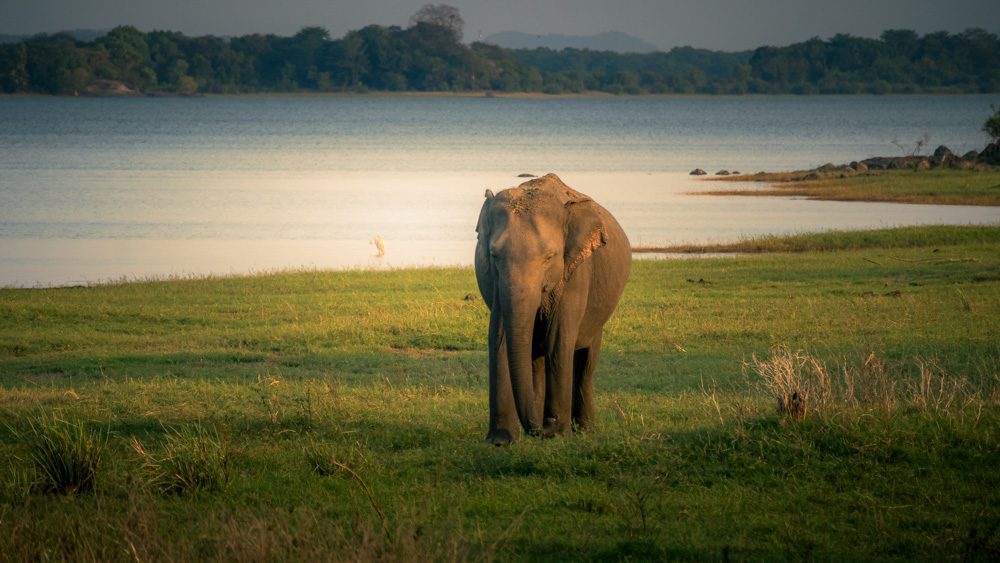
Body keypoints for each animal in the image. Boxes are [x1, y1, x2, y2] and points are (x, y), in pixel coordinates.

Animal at [475, 173, 631, 445]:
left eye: (549, 256)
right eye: (493, 255)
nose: (541, 429)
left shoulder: (576, 273)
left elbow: (558, 339)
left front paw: (556, 435)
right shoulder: (496, 283)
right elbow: (498, 337)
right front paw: (500, 441)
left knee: (586, 362)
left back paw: (584, 430)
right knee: (536, 359)